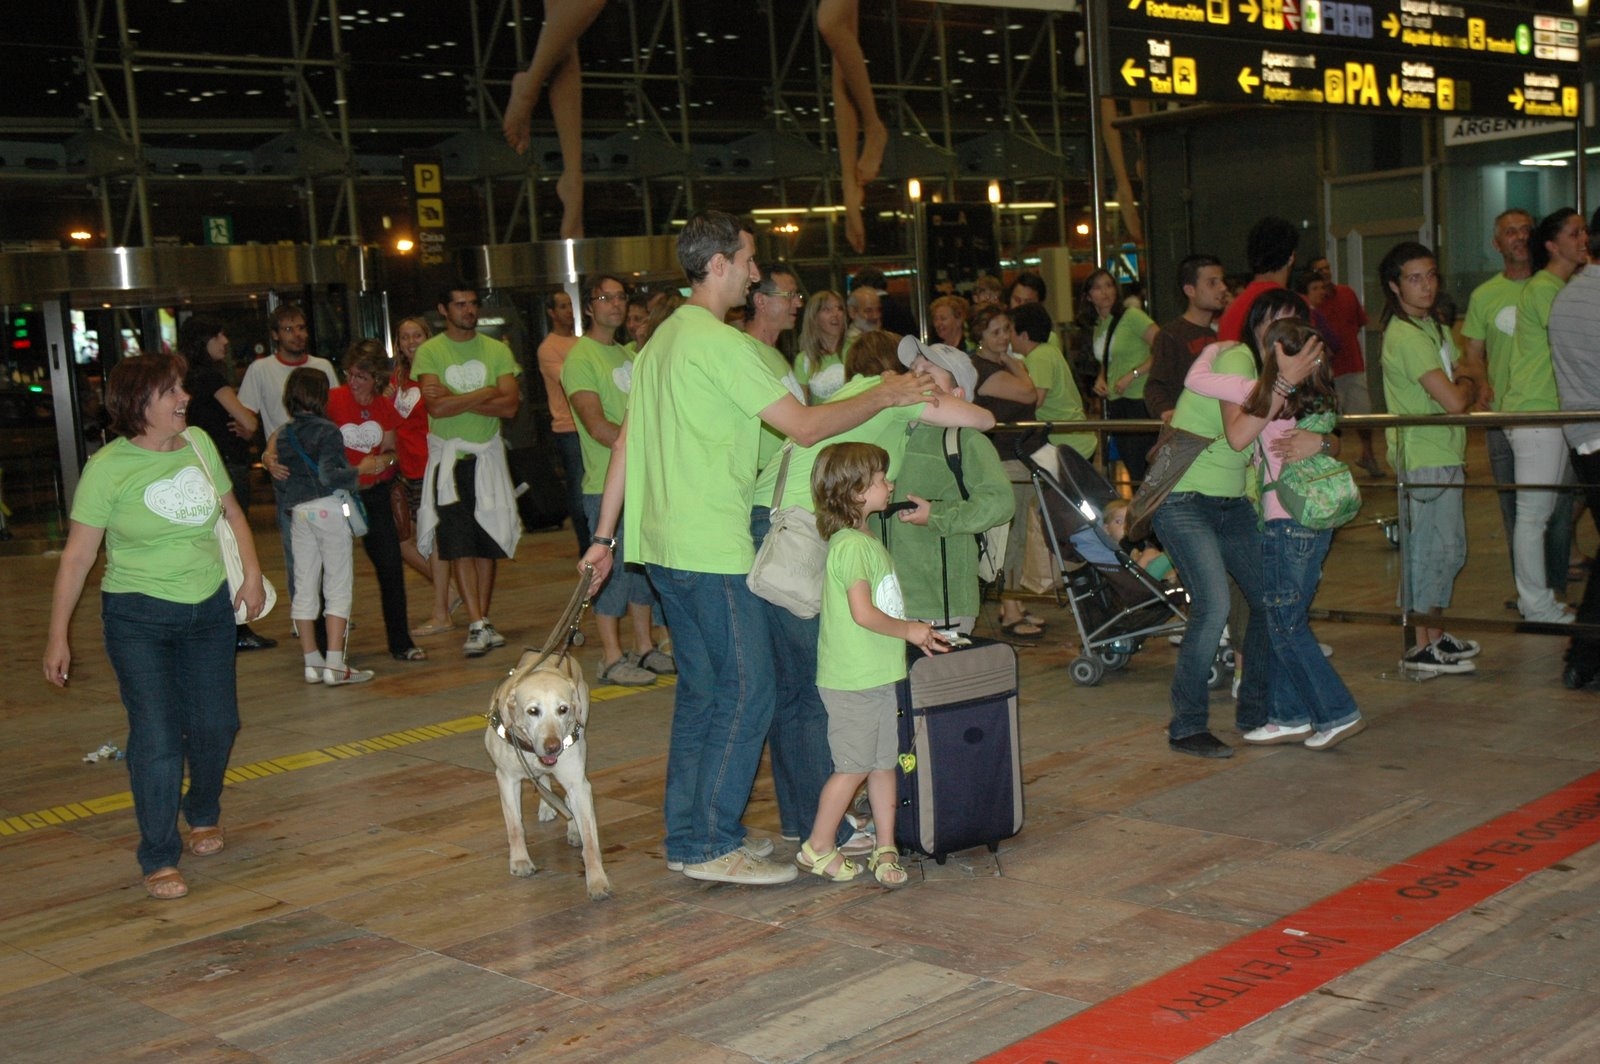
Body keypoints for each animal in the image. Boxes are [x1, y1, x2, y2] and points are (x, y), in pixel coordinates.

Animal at [480, 646, 611, 896]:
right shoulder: (506, 779)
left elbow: (590, 839)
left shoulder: (578, 784)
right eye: (533, 711)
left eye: (563, 709)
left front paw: (597, 881)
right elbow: (515, 826)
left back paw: (571, 825)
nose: (553, 746)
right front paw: (520, 862)